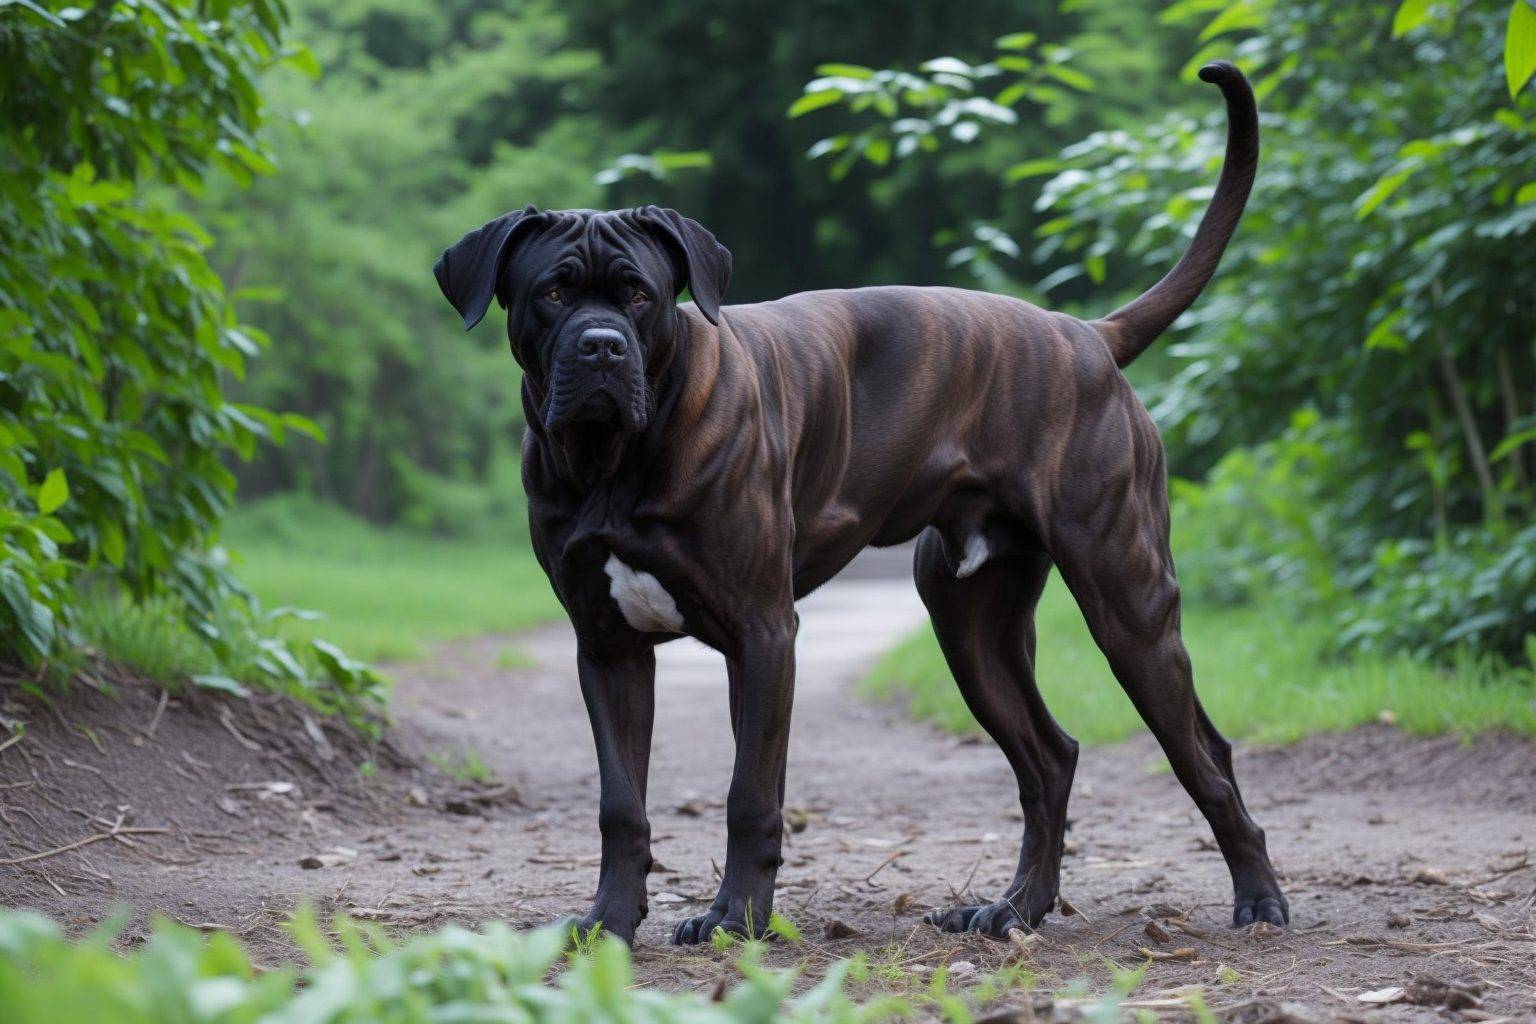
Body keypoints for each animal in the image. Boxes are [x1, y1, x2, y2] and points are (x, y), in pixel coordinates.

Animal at [433, 62, 1284, 945]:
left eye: (639, 295)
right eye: (553, 292)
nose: (601, 347)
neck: (615, 461)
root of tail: (1087, 334)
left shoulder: (763, 635)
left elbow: (750, 794)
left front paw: (737, 916)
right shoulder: (607, 649)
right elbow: (620, 804)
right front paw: (608, 921)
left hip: (1127, 604)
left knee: (1206, 759)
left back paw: (1258, 900)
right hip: (971, 628)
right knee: (1051, 758)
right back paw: (1015, 907)